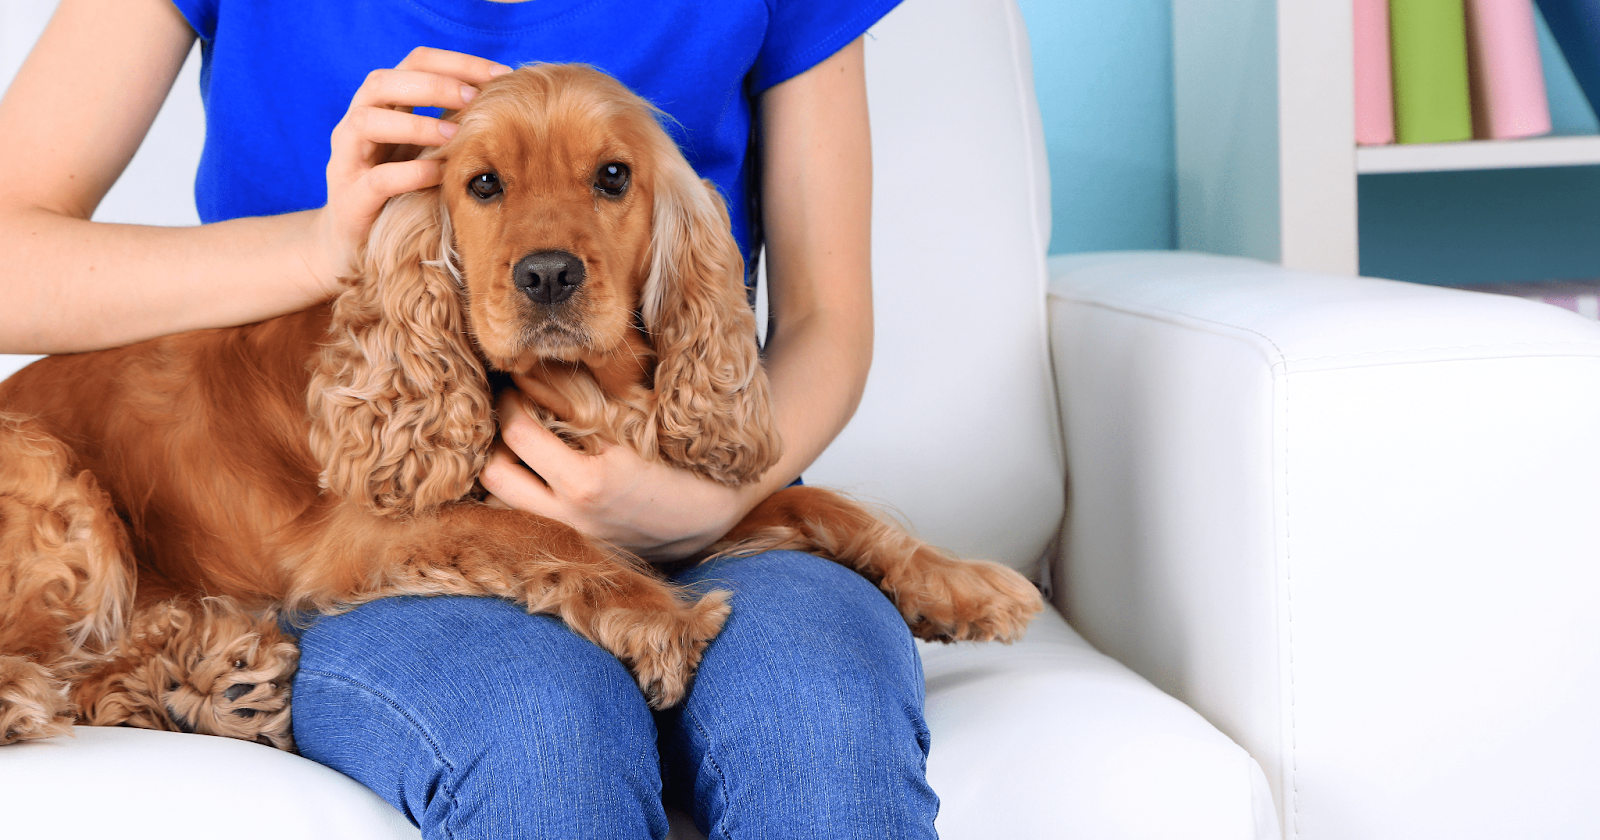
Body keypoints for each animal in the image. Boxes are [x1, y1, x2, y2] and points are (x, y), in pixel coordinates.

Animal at [0, 64, 1043, 745]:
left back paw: (214, 680)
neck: (591, 392)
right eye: (483, 184)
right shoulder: (363, 536)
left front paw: (955, 582)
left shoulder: (680, 510)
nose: (547, 275)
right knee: (43, 672)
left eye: (613, 176)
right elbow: (534, 532)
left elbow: (826, 503)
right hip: (61, 489)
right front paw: (662, 620)